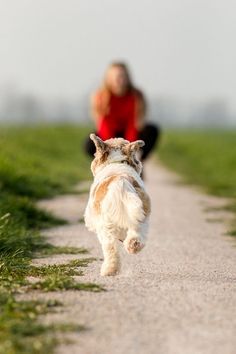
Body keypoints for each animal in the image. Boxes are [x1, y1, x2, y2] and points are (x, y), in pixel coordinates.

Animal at [84, 134, 151, 276]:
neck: (116, 163)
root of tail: (121, 181)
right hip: (142, 215)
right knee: (136, 234)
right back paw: (133, 246)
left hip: (105, 226)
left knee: (110, 248)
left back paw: (109, 270)